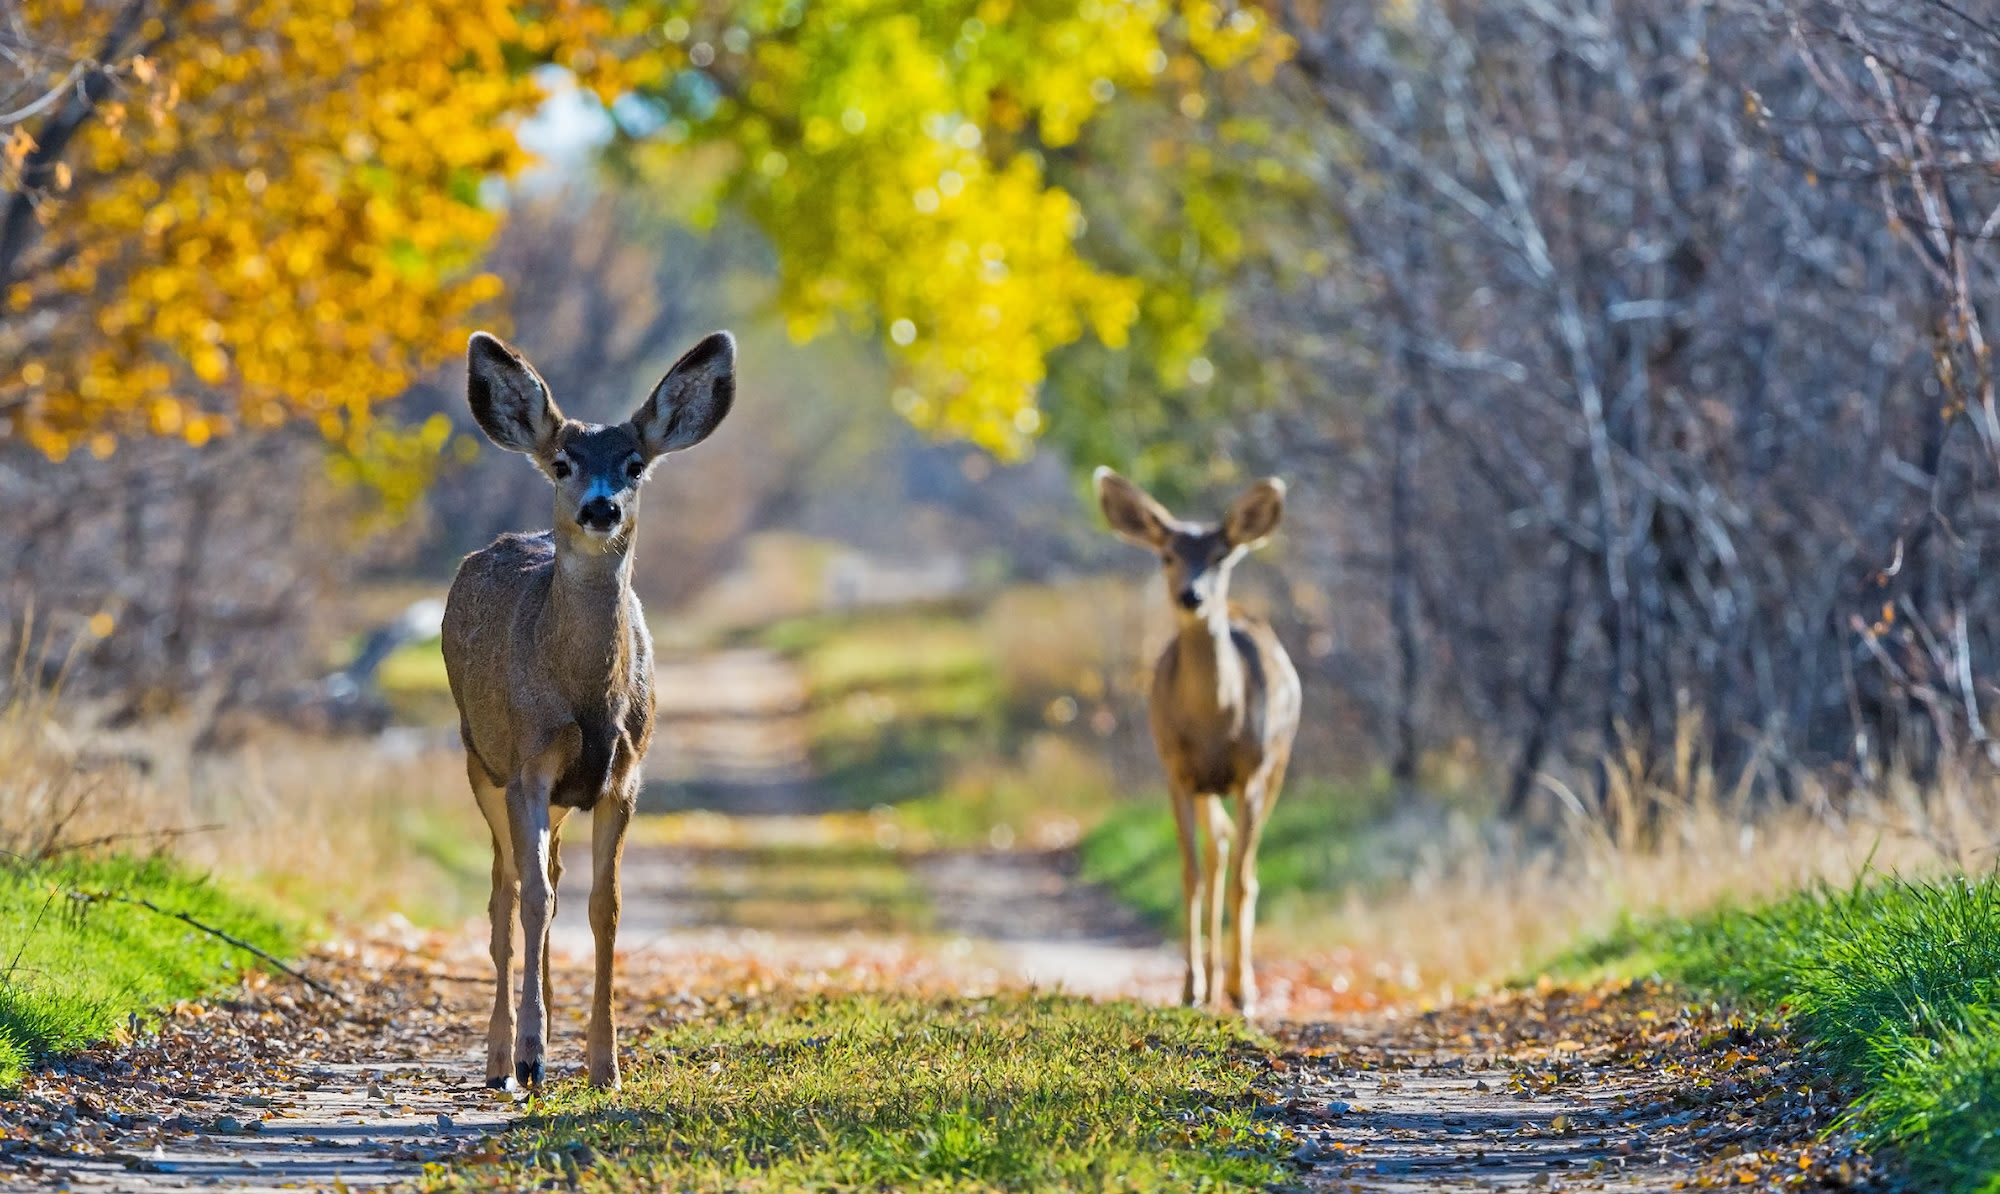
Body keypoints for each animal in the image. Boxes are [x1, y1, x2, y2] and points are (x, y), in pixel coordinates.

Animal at [442, 326, 740, 1088]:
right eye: (562, 462)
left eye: (634, 464)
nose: (601, 507)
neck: (585, 698)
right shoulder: (527, 764)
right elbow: (532, 900)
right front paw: (531, 1051)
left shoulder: (624, 775)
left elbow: (605, 906)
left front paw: (605, 1063)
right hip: (478, 759)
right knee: (508, 889)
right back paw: (503, 1056)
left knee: (547, 875)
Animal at [1096, 466, 1296, 1016]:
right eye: (1167, 555)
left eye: (1221, 556)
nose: (1193, 596)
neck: (1215, 724)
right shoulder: (1177, 770)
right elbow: (1190, 875)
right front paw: (1190, 987)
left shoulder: (1252, 771)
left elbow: (1245, 881)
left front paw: (1244, 992)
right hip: (1206, 785)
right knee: (1216, 850)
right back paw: (1208, 984)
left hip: (1279, 762)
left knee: (1236, 858)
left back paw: (1232, 985)